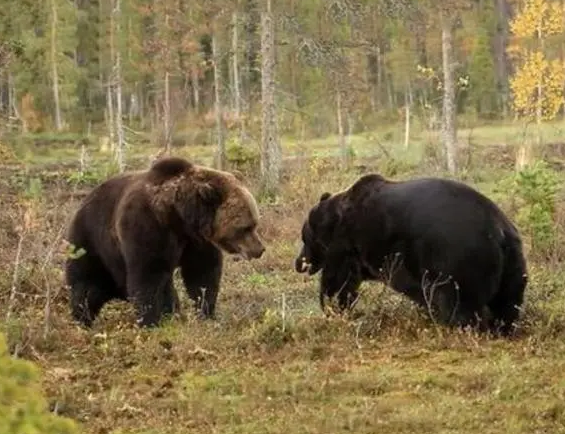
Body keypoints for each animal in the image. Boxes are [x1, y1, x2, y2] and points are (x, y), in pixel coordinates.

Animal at [62, 158, 266, 328]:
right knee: (87, 286)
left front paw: (206, 312)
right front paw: (150, 321)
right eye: (246, 227)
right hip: (92, 241)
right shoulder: (146, 226)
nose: (260, 249)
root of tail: (83, 200)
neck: (178, 216)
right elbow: (147, 275)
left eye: (255, 222)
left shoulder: (196, 240)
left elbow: (202, 274)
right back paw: (83, 318)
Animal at [296, 173, 528, 336]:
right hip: (513, 263)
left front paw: (333, 309)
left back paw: (460, 328)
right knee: (507, 302)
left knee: (461, 304)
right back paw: (502, 327)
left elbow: (338, 282)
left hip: (458, 258)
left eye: (304, 238)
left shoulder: (347, 244)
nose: (298, 263)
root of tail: (499, 231)